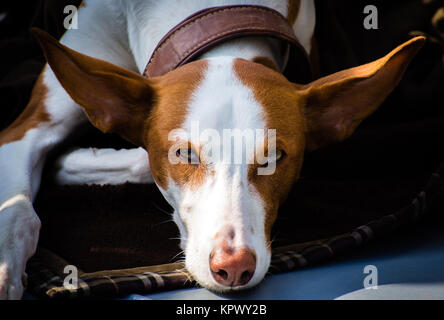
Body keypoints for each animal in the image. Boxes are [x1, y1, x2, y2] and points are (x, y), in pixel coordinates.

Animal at [0, 0, 424, 300]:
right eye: (184, 155)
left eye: (274, 158)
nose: (233, 267)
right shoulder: (26, 130)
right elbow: (17, 208)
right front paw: (5, 268)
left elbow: (136, 160)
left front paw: (74, 162)